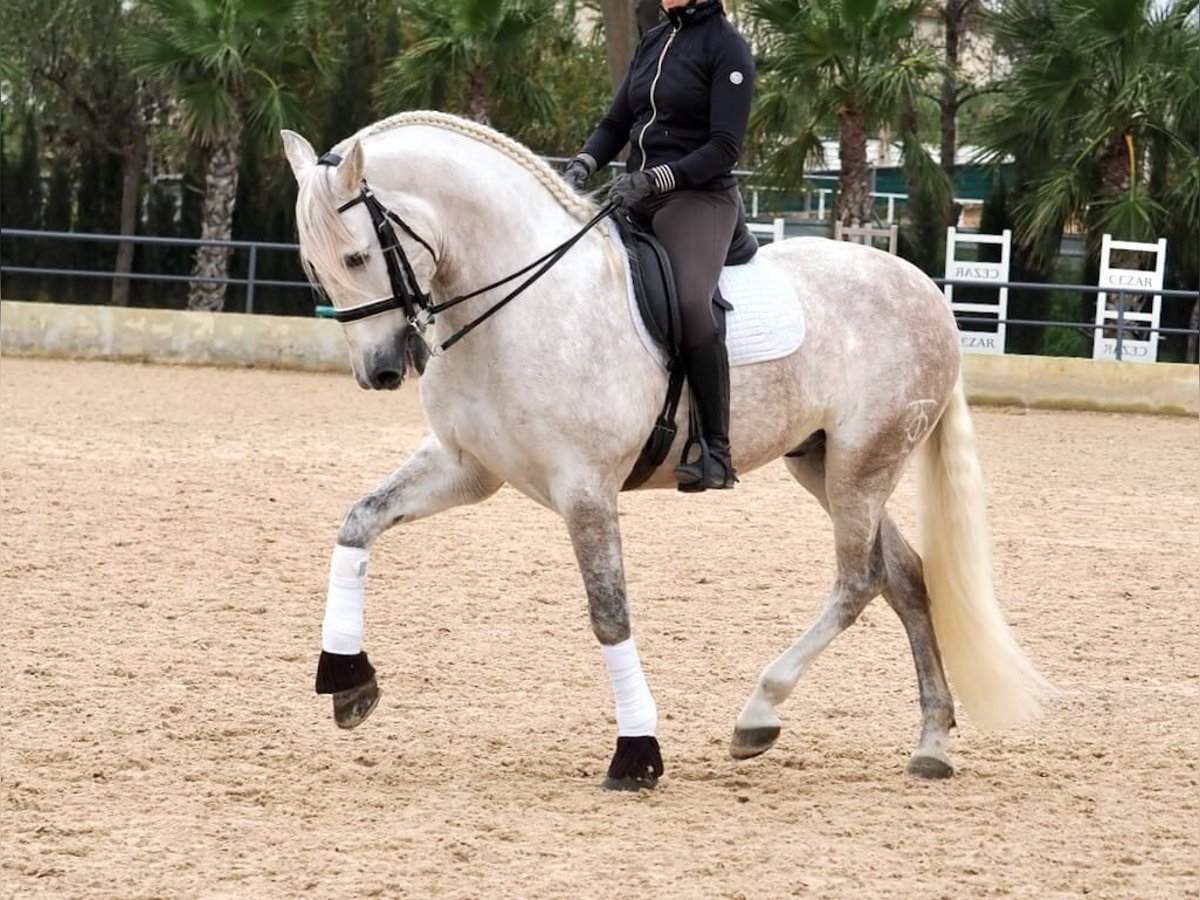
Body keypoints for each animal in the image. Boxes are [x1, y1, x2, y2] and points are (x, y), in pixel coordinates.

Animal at [280, 111, 1051, 787]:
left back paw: (759, 714)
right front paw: (346, 680)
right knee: (906, 577)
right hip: (827, 464)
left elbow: (609, 613)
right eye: (315, 266)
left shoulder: (584, 488)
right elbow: (358, 522)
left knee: (858, 581)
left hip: (865, 463)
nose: (380, 371)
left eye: (356, 254)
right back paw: (931, 744)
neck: (520, 305)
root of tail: (925, 290)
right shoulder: (467, 468)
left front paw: (637, 755)